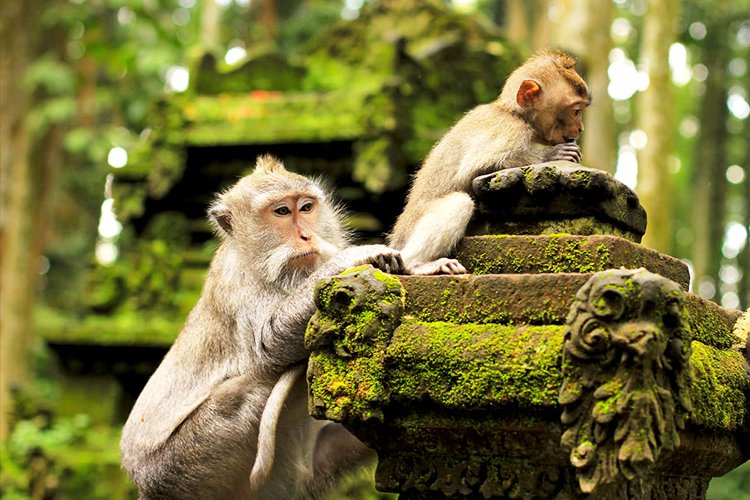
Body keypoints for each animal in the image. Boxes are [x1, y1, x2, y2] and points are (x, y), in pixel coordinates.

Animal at [120, 155, 403, 499]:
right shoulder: (236, 281)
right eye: (281, 212)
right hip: (180, 467)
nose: (306, 236)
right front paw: (352, 258)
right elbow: (268, 344)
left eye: (306, 207)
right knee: (247, 388)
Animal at [387, 50, 591, 275]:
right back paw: (417, 264)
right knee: (460, 202)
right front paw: (552, 154)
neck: (514, 113)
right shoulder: (511, 129)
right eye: (576, 111)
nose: (580, 128)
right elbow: (475, 167)